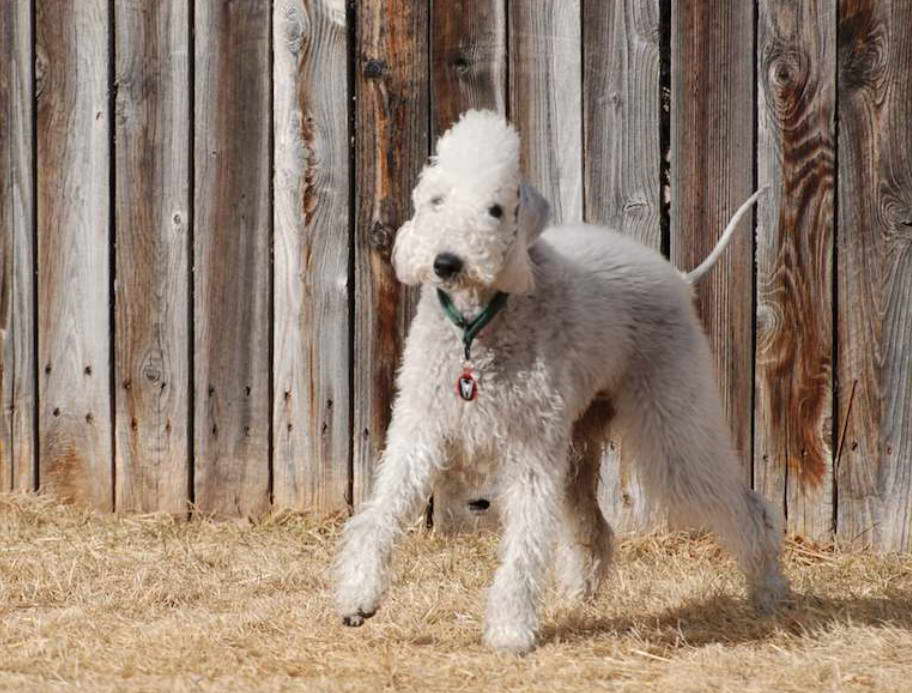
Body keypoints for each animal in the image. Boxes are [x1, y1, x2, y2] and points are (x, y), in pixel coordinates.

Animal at [336, 109, 792, 656]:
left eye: (495, 209)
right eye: (436, 201)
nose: (447, 262)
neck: (477, 328)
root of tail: (676, 276)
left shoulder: (529, 449)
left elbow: (526, 542)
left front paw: (510, 631)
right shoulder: (419, 430)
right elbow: (380, 512)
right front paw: (358, 598)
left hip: (672, 415)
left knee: (745, 505)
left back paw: (770, 593)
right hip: (578, 440)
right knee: (594, 526)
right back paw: (579, 596)